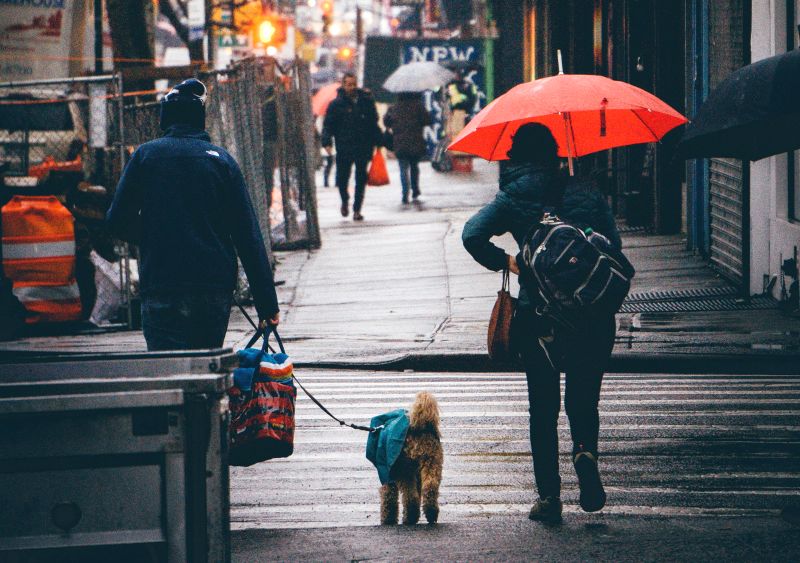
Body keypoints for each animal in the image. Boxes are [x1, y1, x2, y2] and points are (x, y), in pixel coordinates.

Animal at [382, 394, 444, 528]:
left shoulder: (387, 476)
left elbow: (388, 498)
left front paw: (387, 520)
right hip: (432, 462)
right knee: (430, 488)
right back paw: (431, 513)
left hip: (406, 469)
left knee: (410, 497)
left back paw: (409, 518)